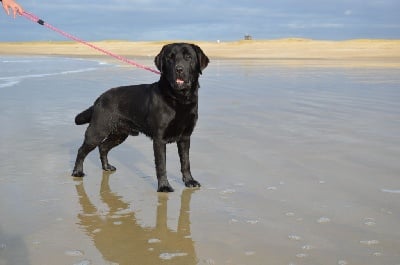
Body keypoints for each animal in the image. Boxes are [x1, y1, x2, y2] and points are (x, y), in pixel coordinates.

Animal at [72, 43, 209, 192]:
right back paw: (77, 172)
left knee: (103, 147)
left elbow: (185, 162)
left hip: (119, 135)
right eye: (169, 58)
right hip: (97, 131)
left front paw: (189, 181)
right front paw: (164, 186)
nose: (179, 69)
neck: (179, 99)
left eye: (188, 57)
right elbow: (161, 165)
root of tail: (99, 99)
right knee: (82, 150)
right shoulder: (159, 139)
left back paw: (106, 167)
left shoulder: (185, 137)